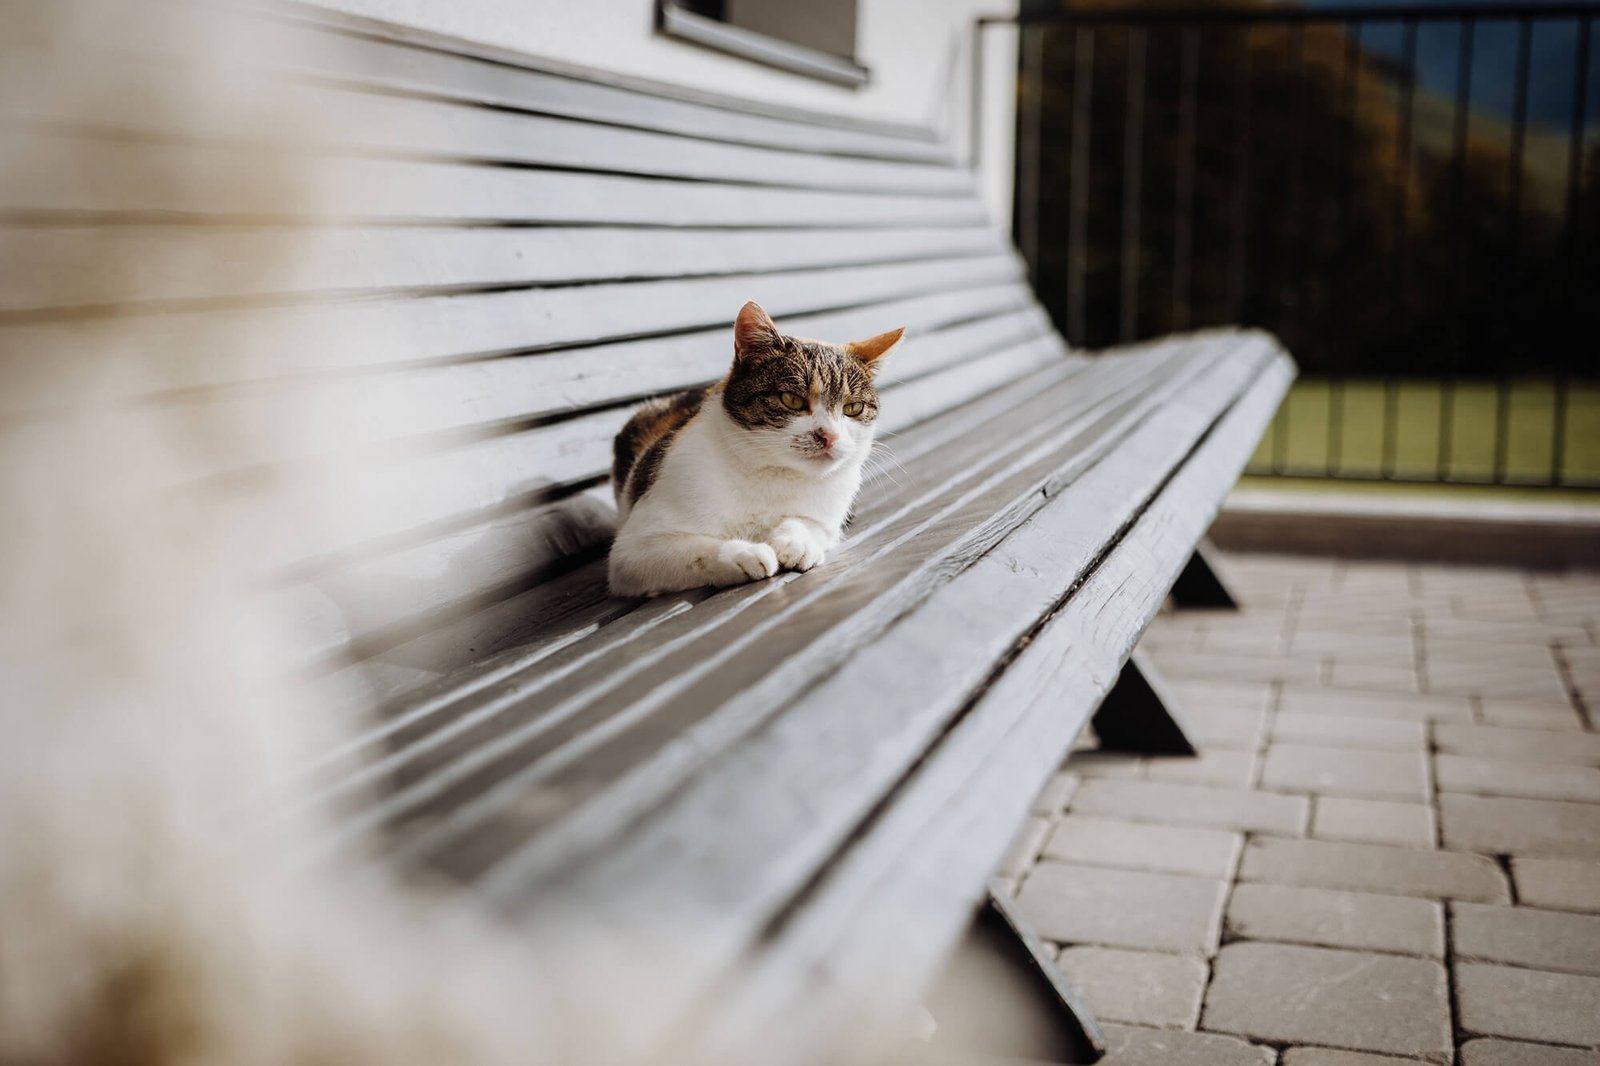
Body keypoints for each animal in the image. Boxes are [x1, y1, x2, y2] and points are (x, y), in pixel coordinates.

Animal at [604, 300, 902, 598]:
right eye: (792, 400)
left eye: (853, 408)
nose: (829, 436)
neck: (773, 474)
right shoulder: (633, 551)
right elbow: (692, 551)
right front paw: (744, 555)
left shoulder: (829, 517)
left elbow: (808, 523)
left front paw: (796, 542)